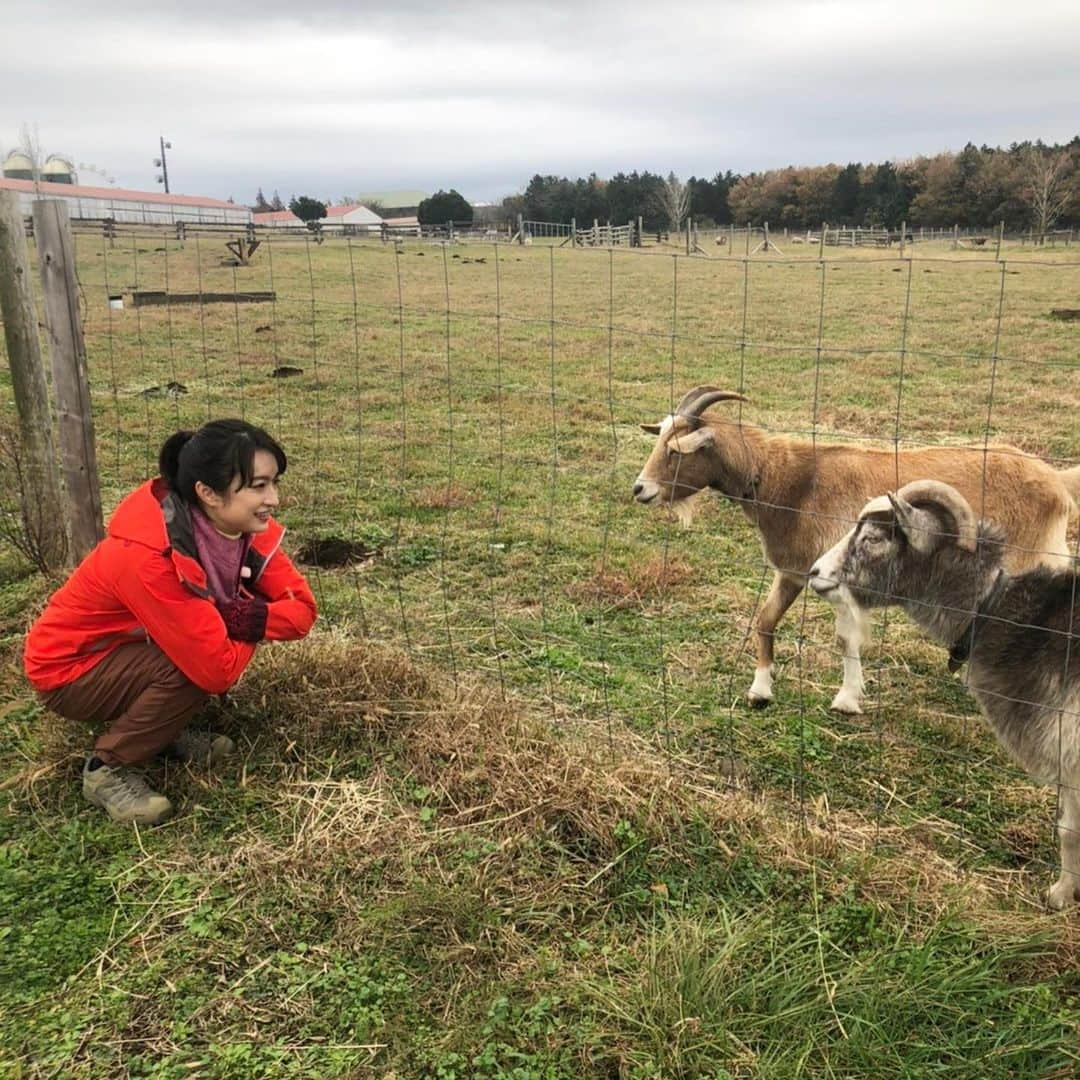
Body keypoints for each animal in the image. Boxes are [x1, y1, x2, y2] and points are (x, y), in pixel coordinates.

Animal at [630, 384, 1080, 712]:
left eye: (675, 450)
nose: (640, 489)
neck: (791, 482)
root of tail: (1055, 479)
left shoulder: (840, 576)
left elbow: (845, 639)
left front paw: (846, 700)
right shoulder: (793, 571)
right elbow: (765, 620)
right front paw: (760, 690)